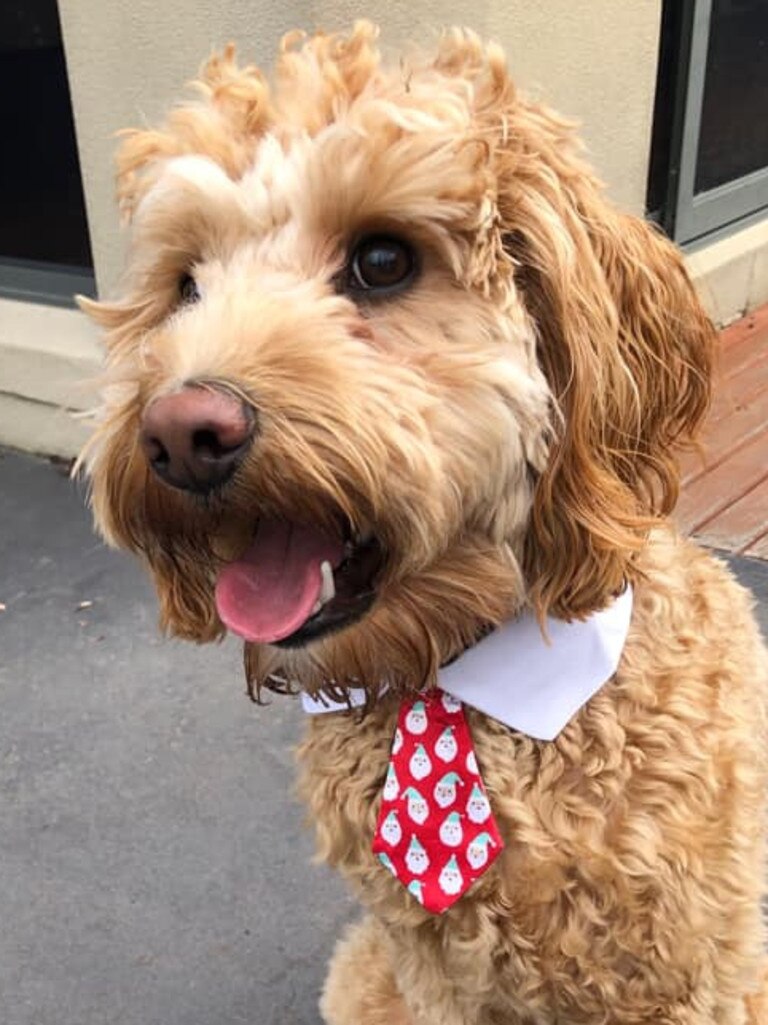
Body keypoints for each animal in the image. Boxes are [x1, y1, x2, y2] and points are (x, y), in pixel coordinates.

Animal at [79, 24, 766, 1025]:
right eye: (187, 286)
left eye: (383, 262)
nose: (179, 433)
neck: (447, 681)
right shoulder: (431, 971)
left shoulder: (698, 973)